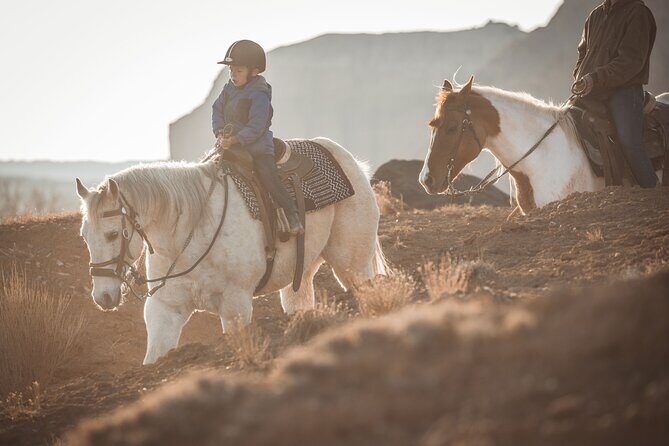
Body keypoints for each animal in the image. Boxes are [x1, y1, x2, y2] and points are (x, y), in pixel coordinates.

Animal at [76, 137, 386, 364]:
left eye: (113, 234)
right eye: (84, 236)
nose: (103, 297)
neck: (190, 234)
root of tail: (351, 162)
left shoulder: (235, 306)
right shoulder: (165, 309)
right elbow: (153, 358)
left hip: (353, 267)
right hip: (303, 275)